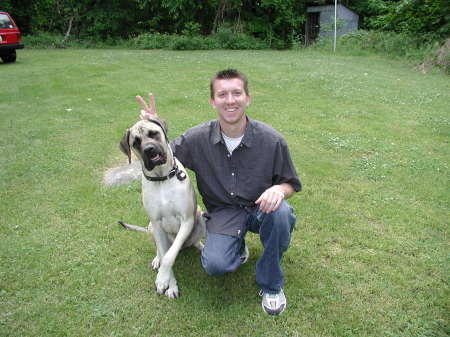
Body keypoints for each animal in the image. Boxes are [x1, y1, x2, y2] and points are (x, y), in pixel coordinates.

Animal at [118, 117, 205, 298]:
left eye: (153, 133)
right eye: (136, 142)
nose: (149, 150)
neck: (162, 179)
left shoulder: (187, 219)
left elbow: (170, 256)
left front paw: (163, 279)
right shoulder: (157, 224)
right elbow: (165, 255)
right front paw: (168, 283)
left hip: (199, 215)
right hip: (151, 227)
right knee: (159, 250)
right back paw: (156, 259)